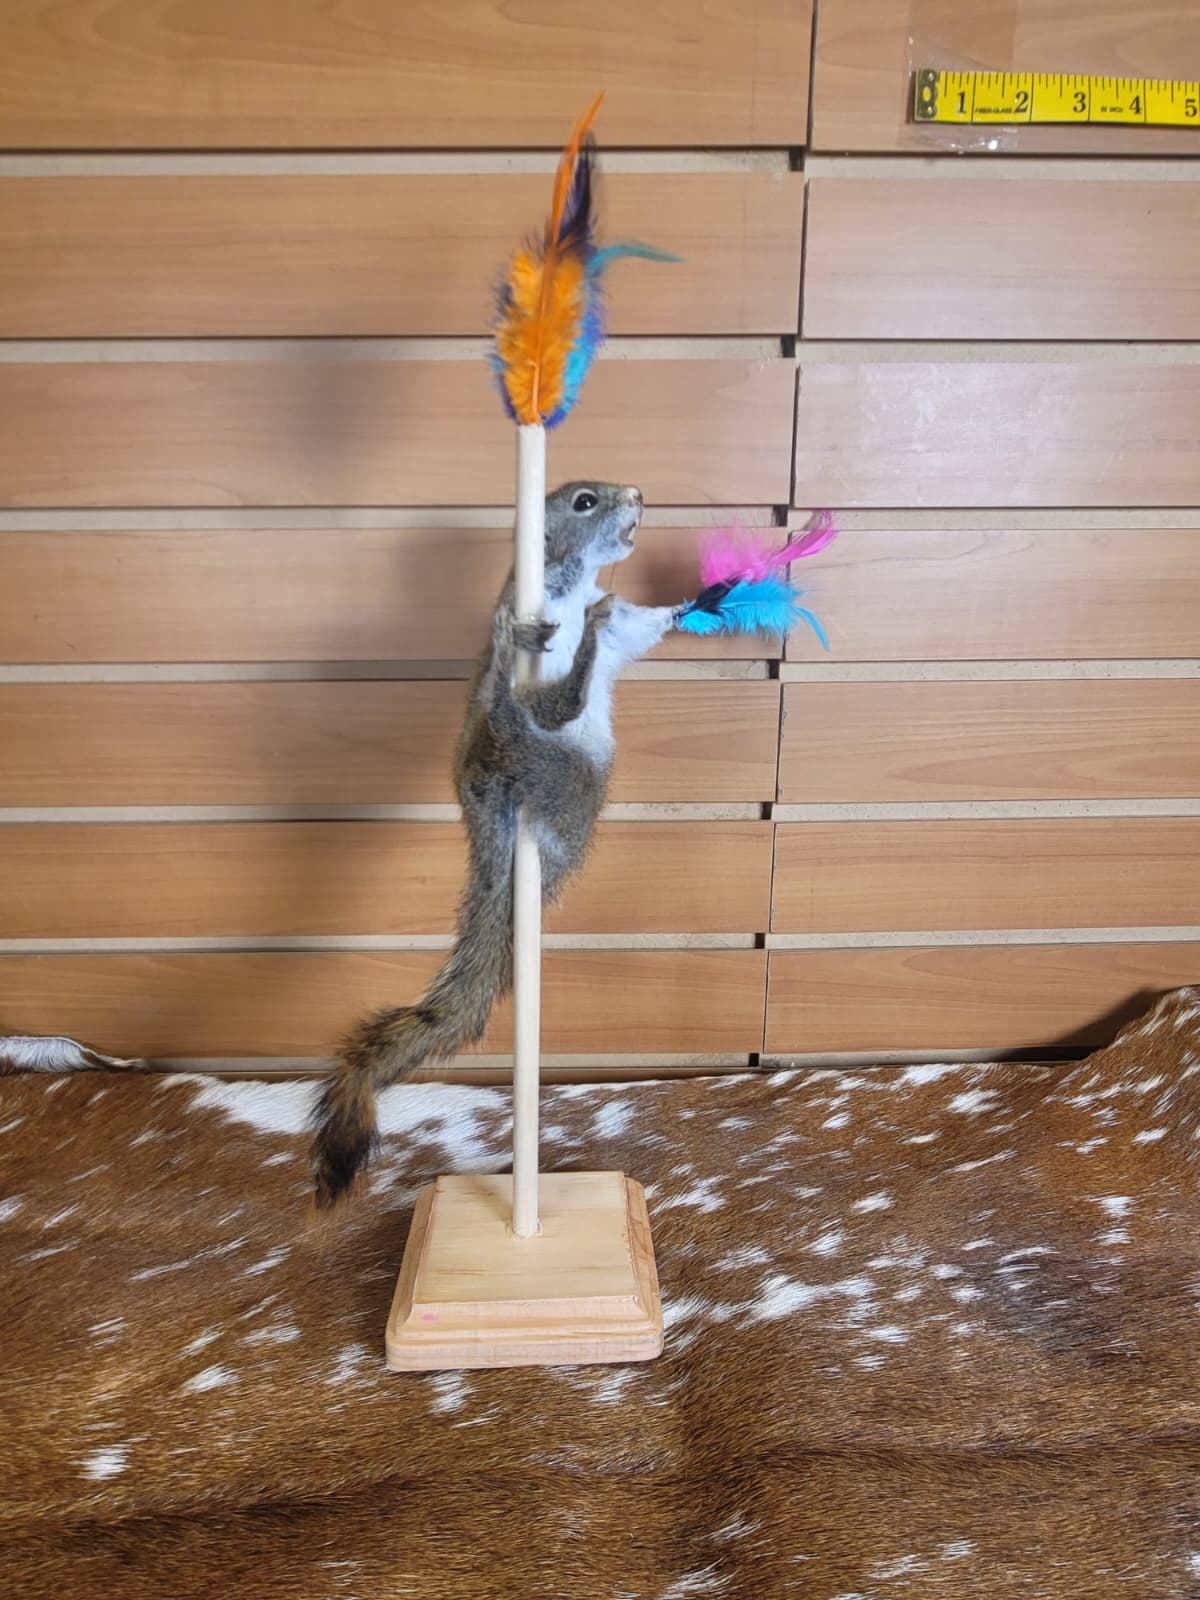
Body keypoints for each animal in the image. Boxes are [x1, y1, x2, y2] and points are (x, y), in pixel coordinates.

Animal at [310, 481, 678, 1207]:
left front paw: (700, 599)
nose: (637, 495)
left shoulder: (631, 628)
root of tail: (490, 801)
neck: (569, 584)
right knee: (538, 710)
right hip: (545, 758)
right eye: (585, 501)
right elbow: (559, 651)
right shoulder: (527, 605)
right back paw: (528, 668)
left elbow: (648, 626)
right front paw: (571, 626)